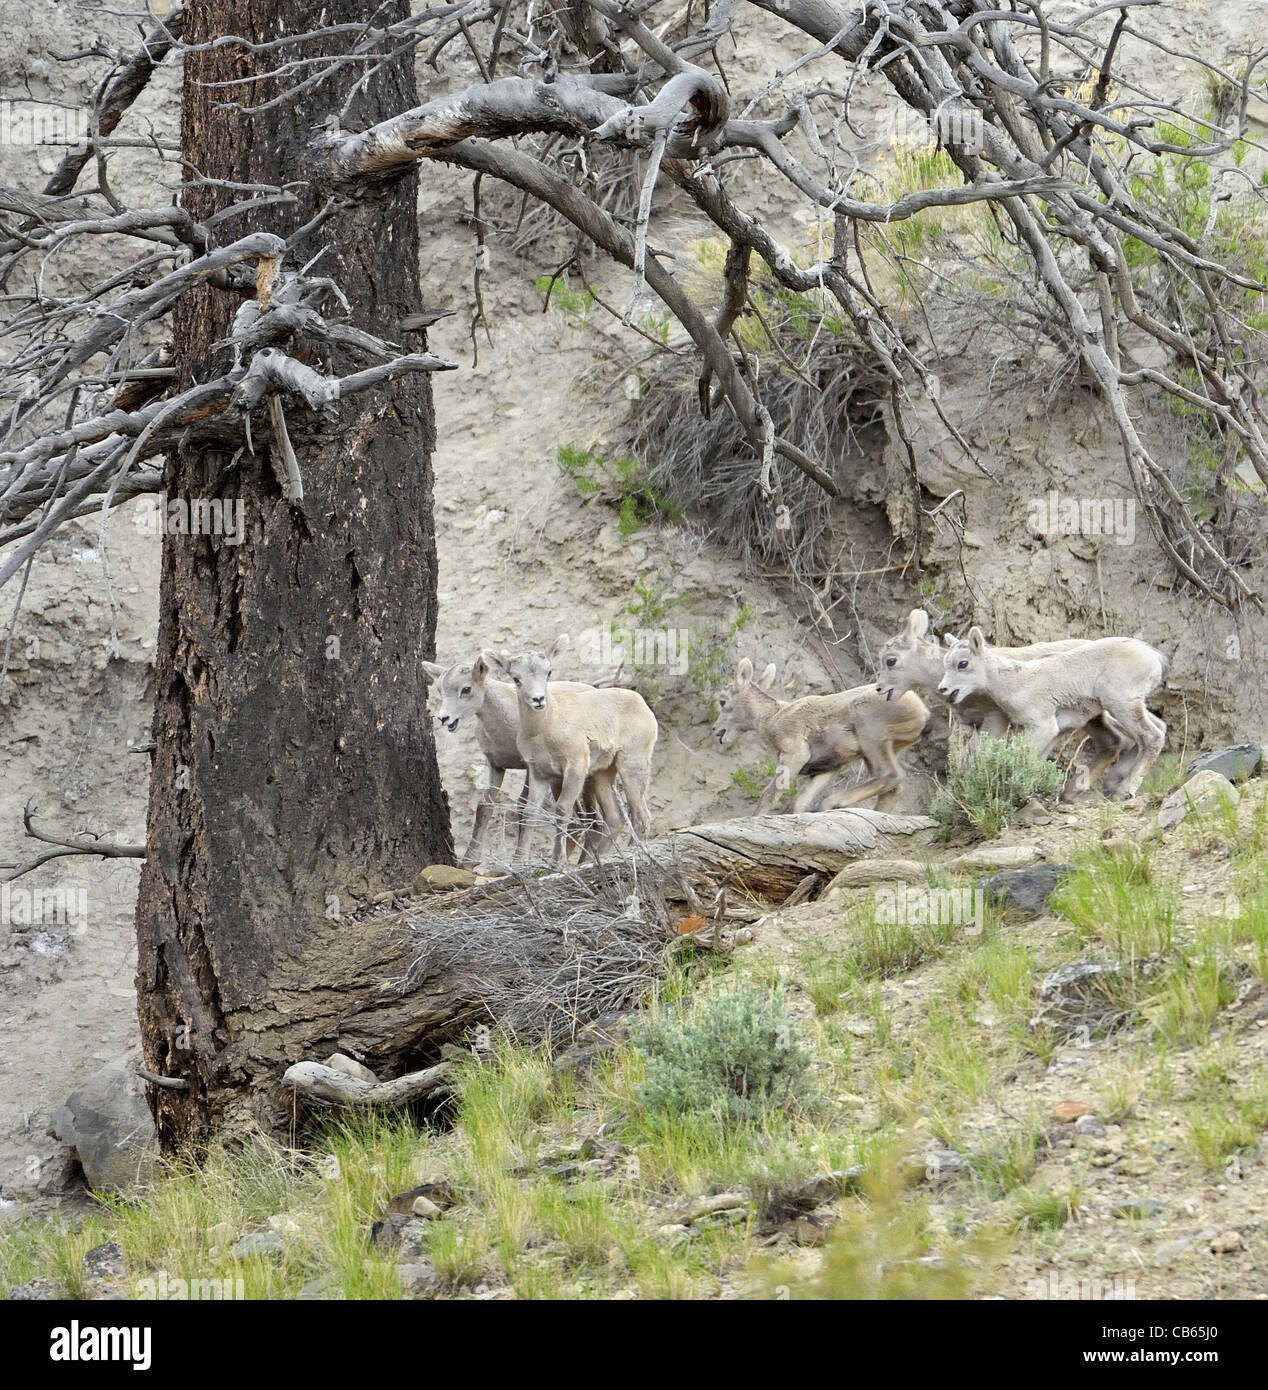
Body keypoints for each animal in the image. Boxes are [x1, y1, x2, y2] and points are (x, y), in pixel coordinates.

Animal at [423, 656, 604, 867]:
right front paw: (468, 862)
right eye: (440, 690)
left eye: (466, 689)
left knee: (593, 819)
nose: (444, 718)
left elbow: (522, 806)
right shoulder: (495, 766)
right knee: (580, 820)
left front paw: (518, 860)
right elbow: (484, 807)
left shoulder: (529, 767)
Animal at [482, 635, 658, 864]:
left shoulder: (575, 767)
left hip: (632, 766)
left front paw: (558, 861)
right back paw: (595, 860)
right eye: (516, 678)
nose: (538, 700)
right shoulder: (539, 774)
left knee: (640, 816)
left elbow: (562, 809)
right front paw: (520, 860)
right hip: (602, 774)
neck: (545, 729)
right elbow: (530, 813)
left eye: (548, 672)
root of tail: (642, 705)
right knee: (615, 818)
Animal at [712, 658, 930, 814]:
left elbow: (769, 795)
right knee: (891, 788)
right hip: (878, 751)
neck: (772, 717)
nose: (716, 730)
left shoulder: (795, 755)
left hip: (871, 736)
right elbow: (798, 805)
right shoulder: (826, 769)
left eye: (723, 701)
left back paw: (830, 804)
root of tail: (922, 712)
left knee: (889, 774)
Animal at [937, 627, 1167, 797]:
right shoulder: (1057, 731)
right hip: (1121, 708)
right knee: (1150, 732)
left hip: (1122, 704)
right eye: (945, 663)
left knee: (1151, 737)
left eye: (963, 663)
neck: (1017, 682)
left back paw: (1124, 791)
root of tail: (1154, 657)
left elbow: (1026, 759)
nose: (943, 689)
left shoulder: (1043, 727)